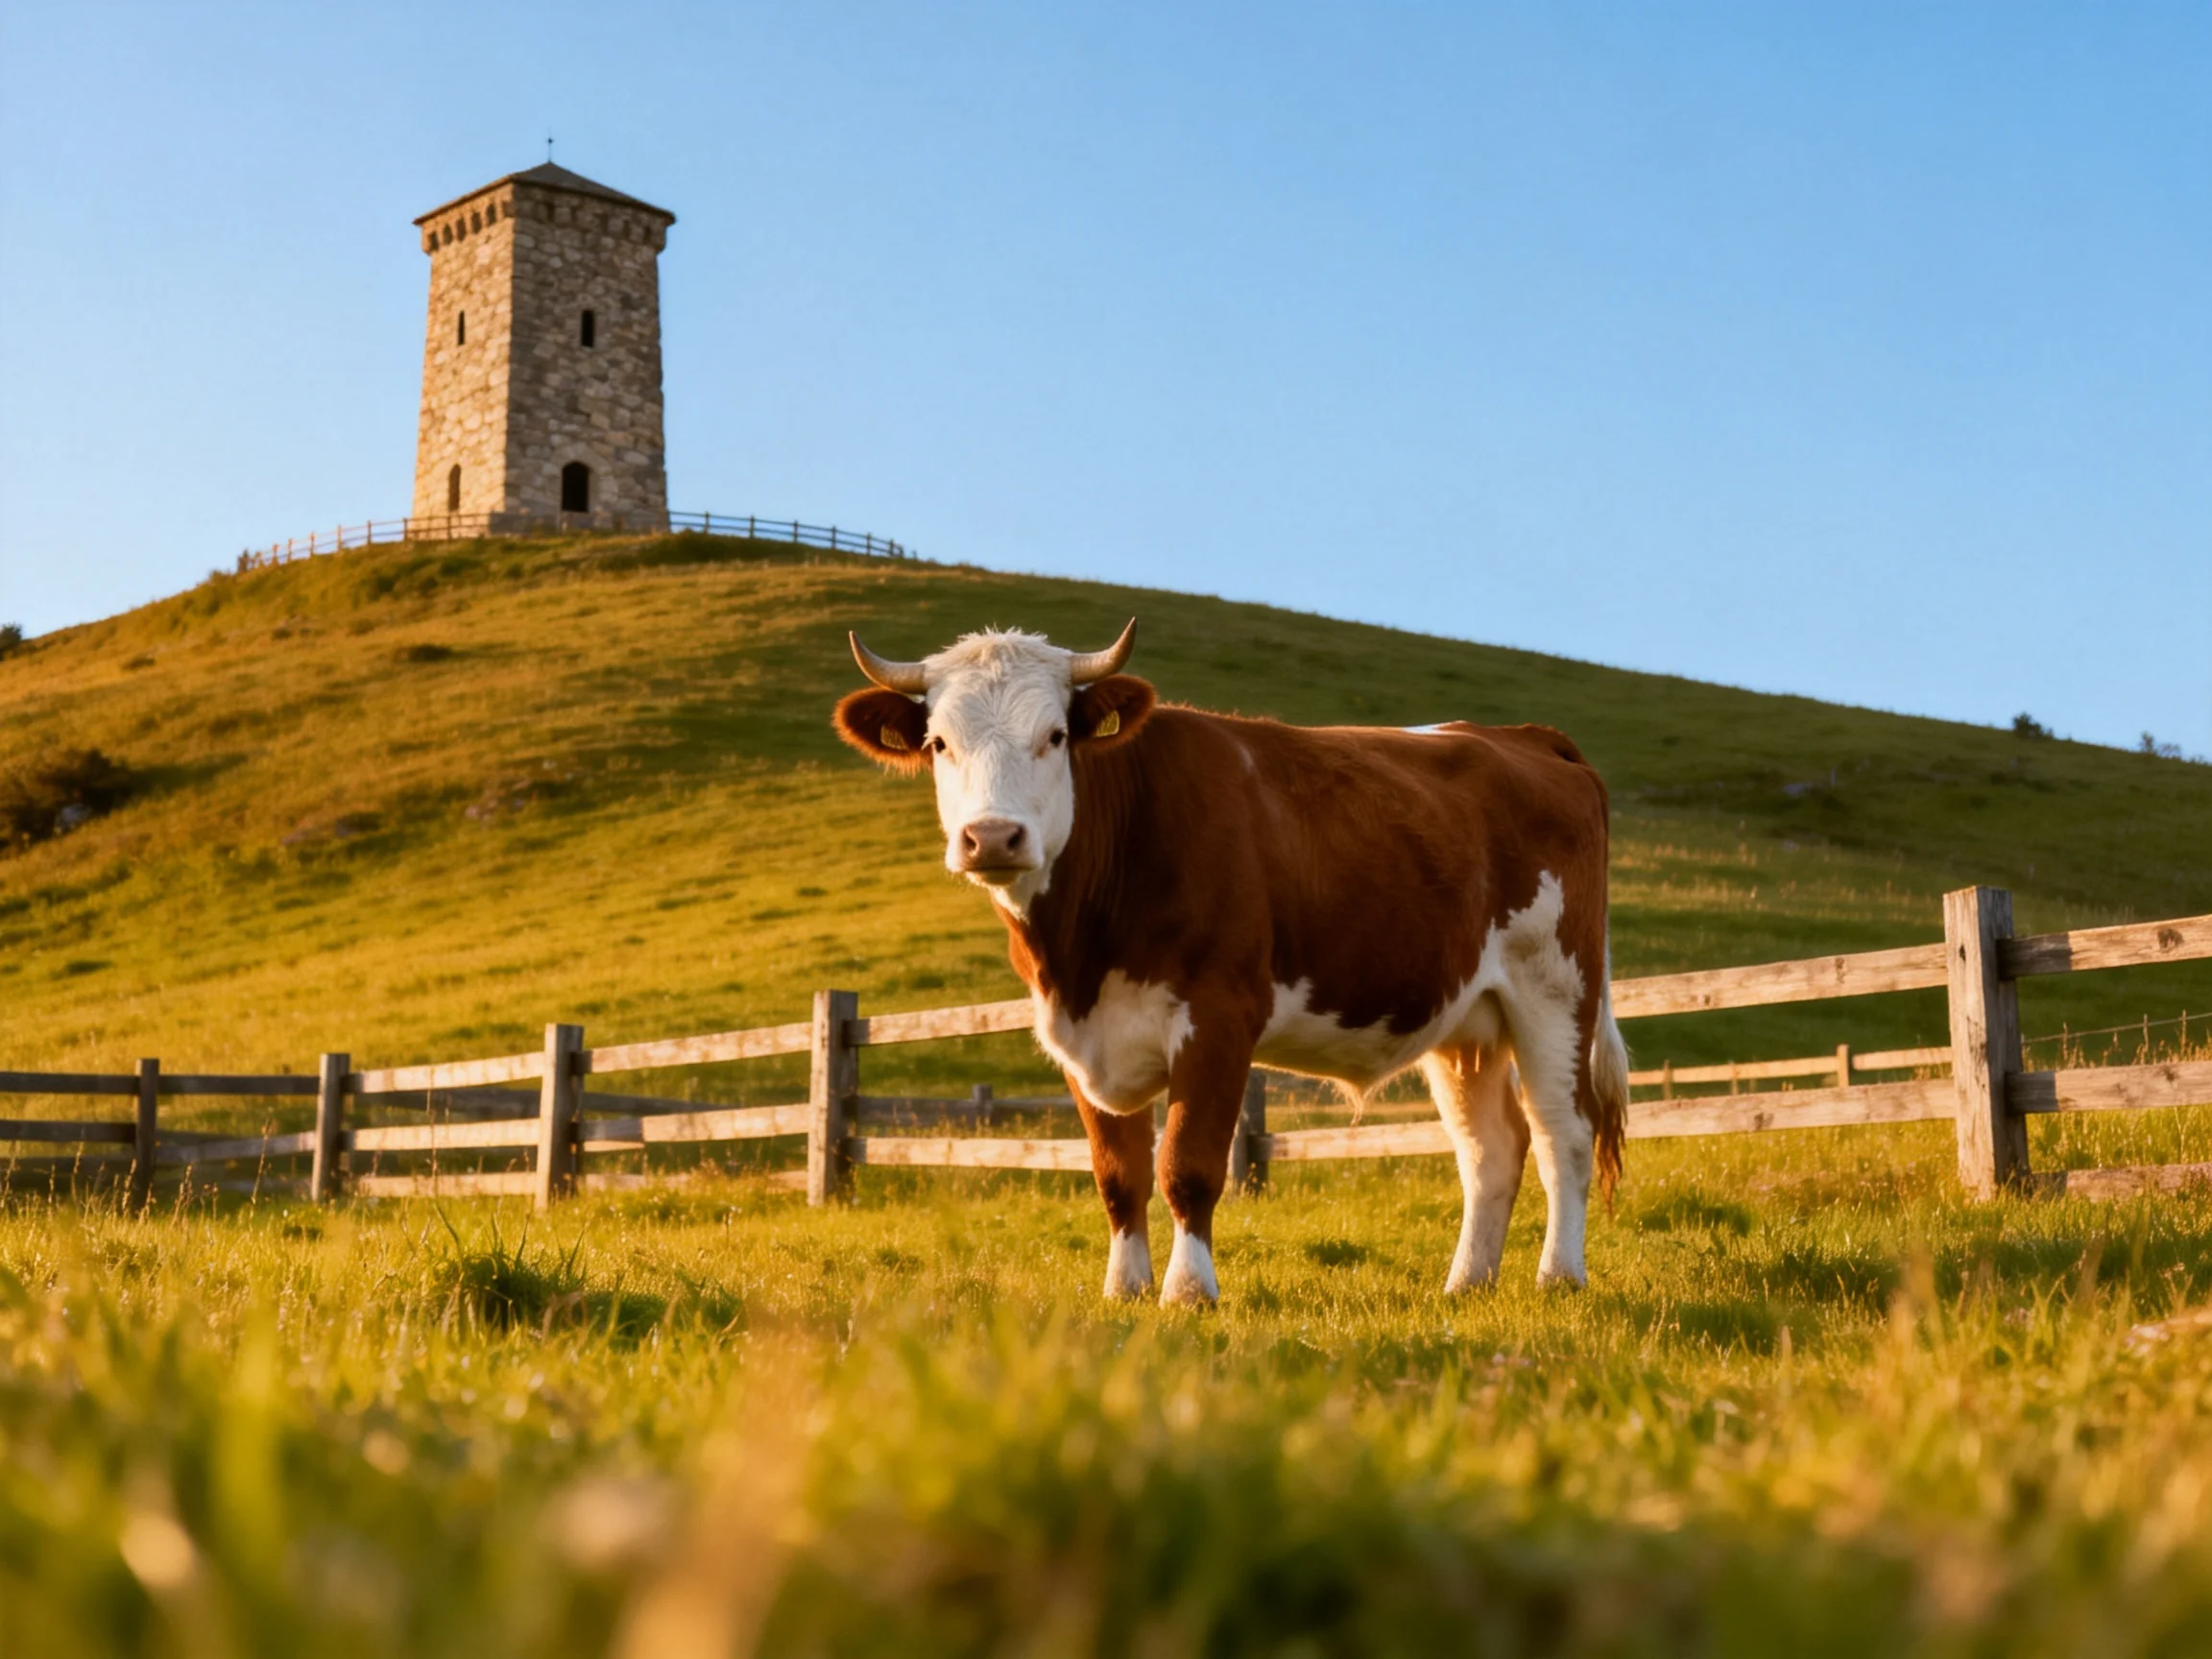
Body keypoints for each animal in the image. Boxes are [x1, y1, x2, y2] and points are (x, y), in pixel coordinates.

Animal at [831, 618, 1629, 1306]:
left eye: (1055, 736)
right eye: (939, 743)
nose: (993, 838)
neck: (1081, 952)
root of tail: (1521, 736)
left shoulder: (1218, 1018)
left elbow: (1186, 1165)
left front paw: (1189, 1292)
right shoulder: (1081, 1039)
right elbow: (1117, 1175)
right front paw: (1125, 1290)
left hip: (1556, 989)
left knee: (1565, 1131)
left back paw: (1559, 1278)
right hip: (1465, 1020)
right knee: (1491, 1148)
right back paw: (1466, 1285)